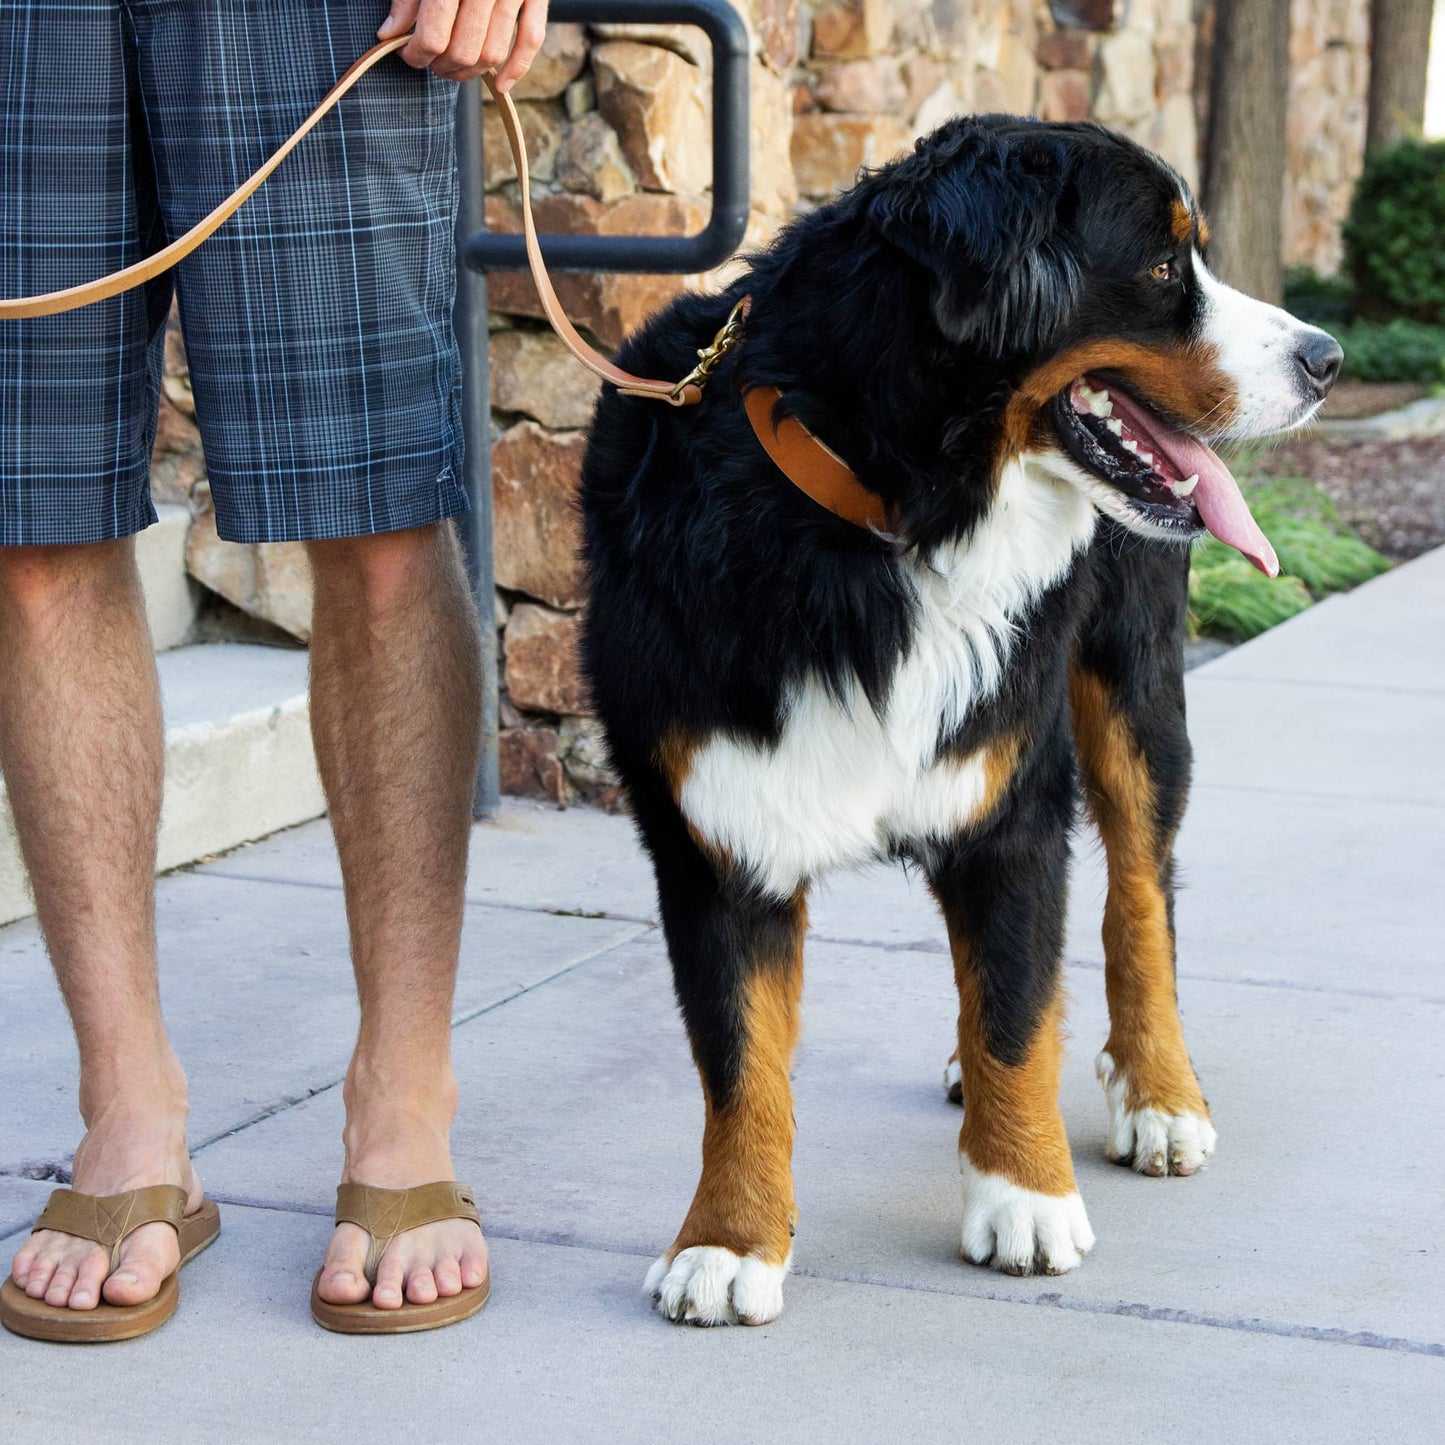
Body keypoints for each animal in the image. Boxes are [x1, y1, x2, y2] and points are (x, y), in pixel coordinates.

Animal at [578, 118, 1340, 1323]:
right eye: (1161, 267)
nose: (1327, 358)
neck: (884, 525)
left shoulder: (1014, 805)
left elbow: (1015, 1013)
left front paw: (1023, 1193)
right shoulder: (714, 825)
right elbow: (740, 1057)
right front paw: (729, 1240)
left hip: (1132, 694)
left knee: (1139, 896)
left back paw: (1160, 1090)